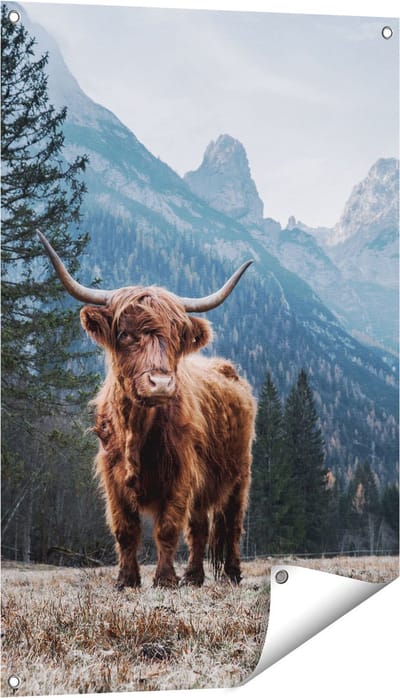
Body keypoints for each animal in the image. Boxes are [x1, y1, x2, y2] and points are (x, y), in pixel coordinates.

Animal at [37, 230, 256, 589]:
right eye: (125, 334)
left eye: (176, 337)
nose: (161, 384)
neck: (136, 429)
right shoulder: (112, 477)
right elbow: (125, 530)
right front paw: (127, 580)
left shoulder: (181, 473)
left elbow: (167, 529)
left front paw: (164, 579)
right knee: (199, 527)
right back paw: (193, 577)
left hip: (240, 474)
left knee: (231, 525)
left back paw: (231, 574)